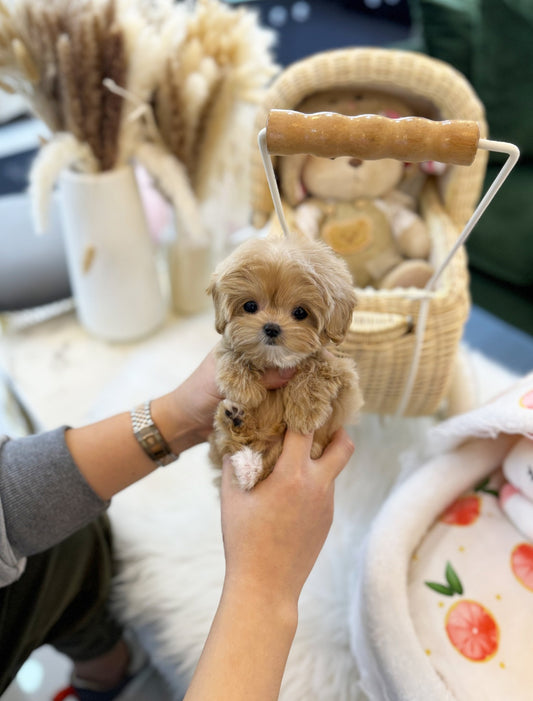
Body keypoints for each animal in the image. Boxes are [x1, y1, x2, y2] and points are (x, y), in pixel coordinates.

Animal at [208, 235, 362, 486]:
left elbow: (317, 368)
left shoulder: (345, 377)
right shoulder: (226, 345)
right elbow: (230, 350)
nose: (271, 327)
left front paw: (304, 412)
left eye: (300, 312)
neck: (276, 361)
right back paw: (235, 422)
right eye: (250, 306)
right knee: (230, 443)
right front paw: (243, 387)